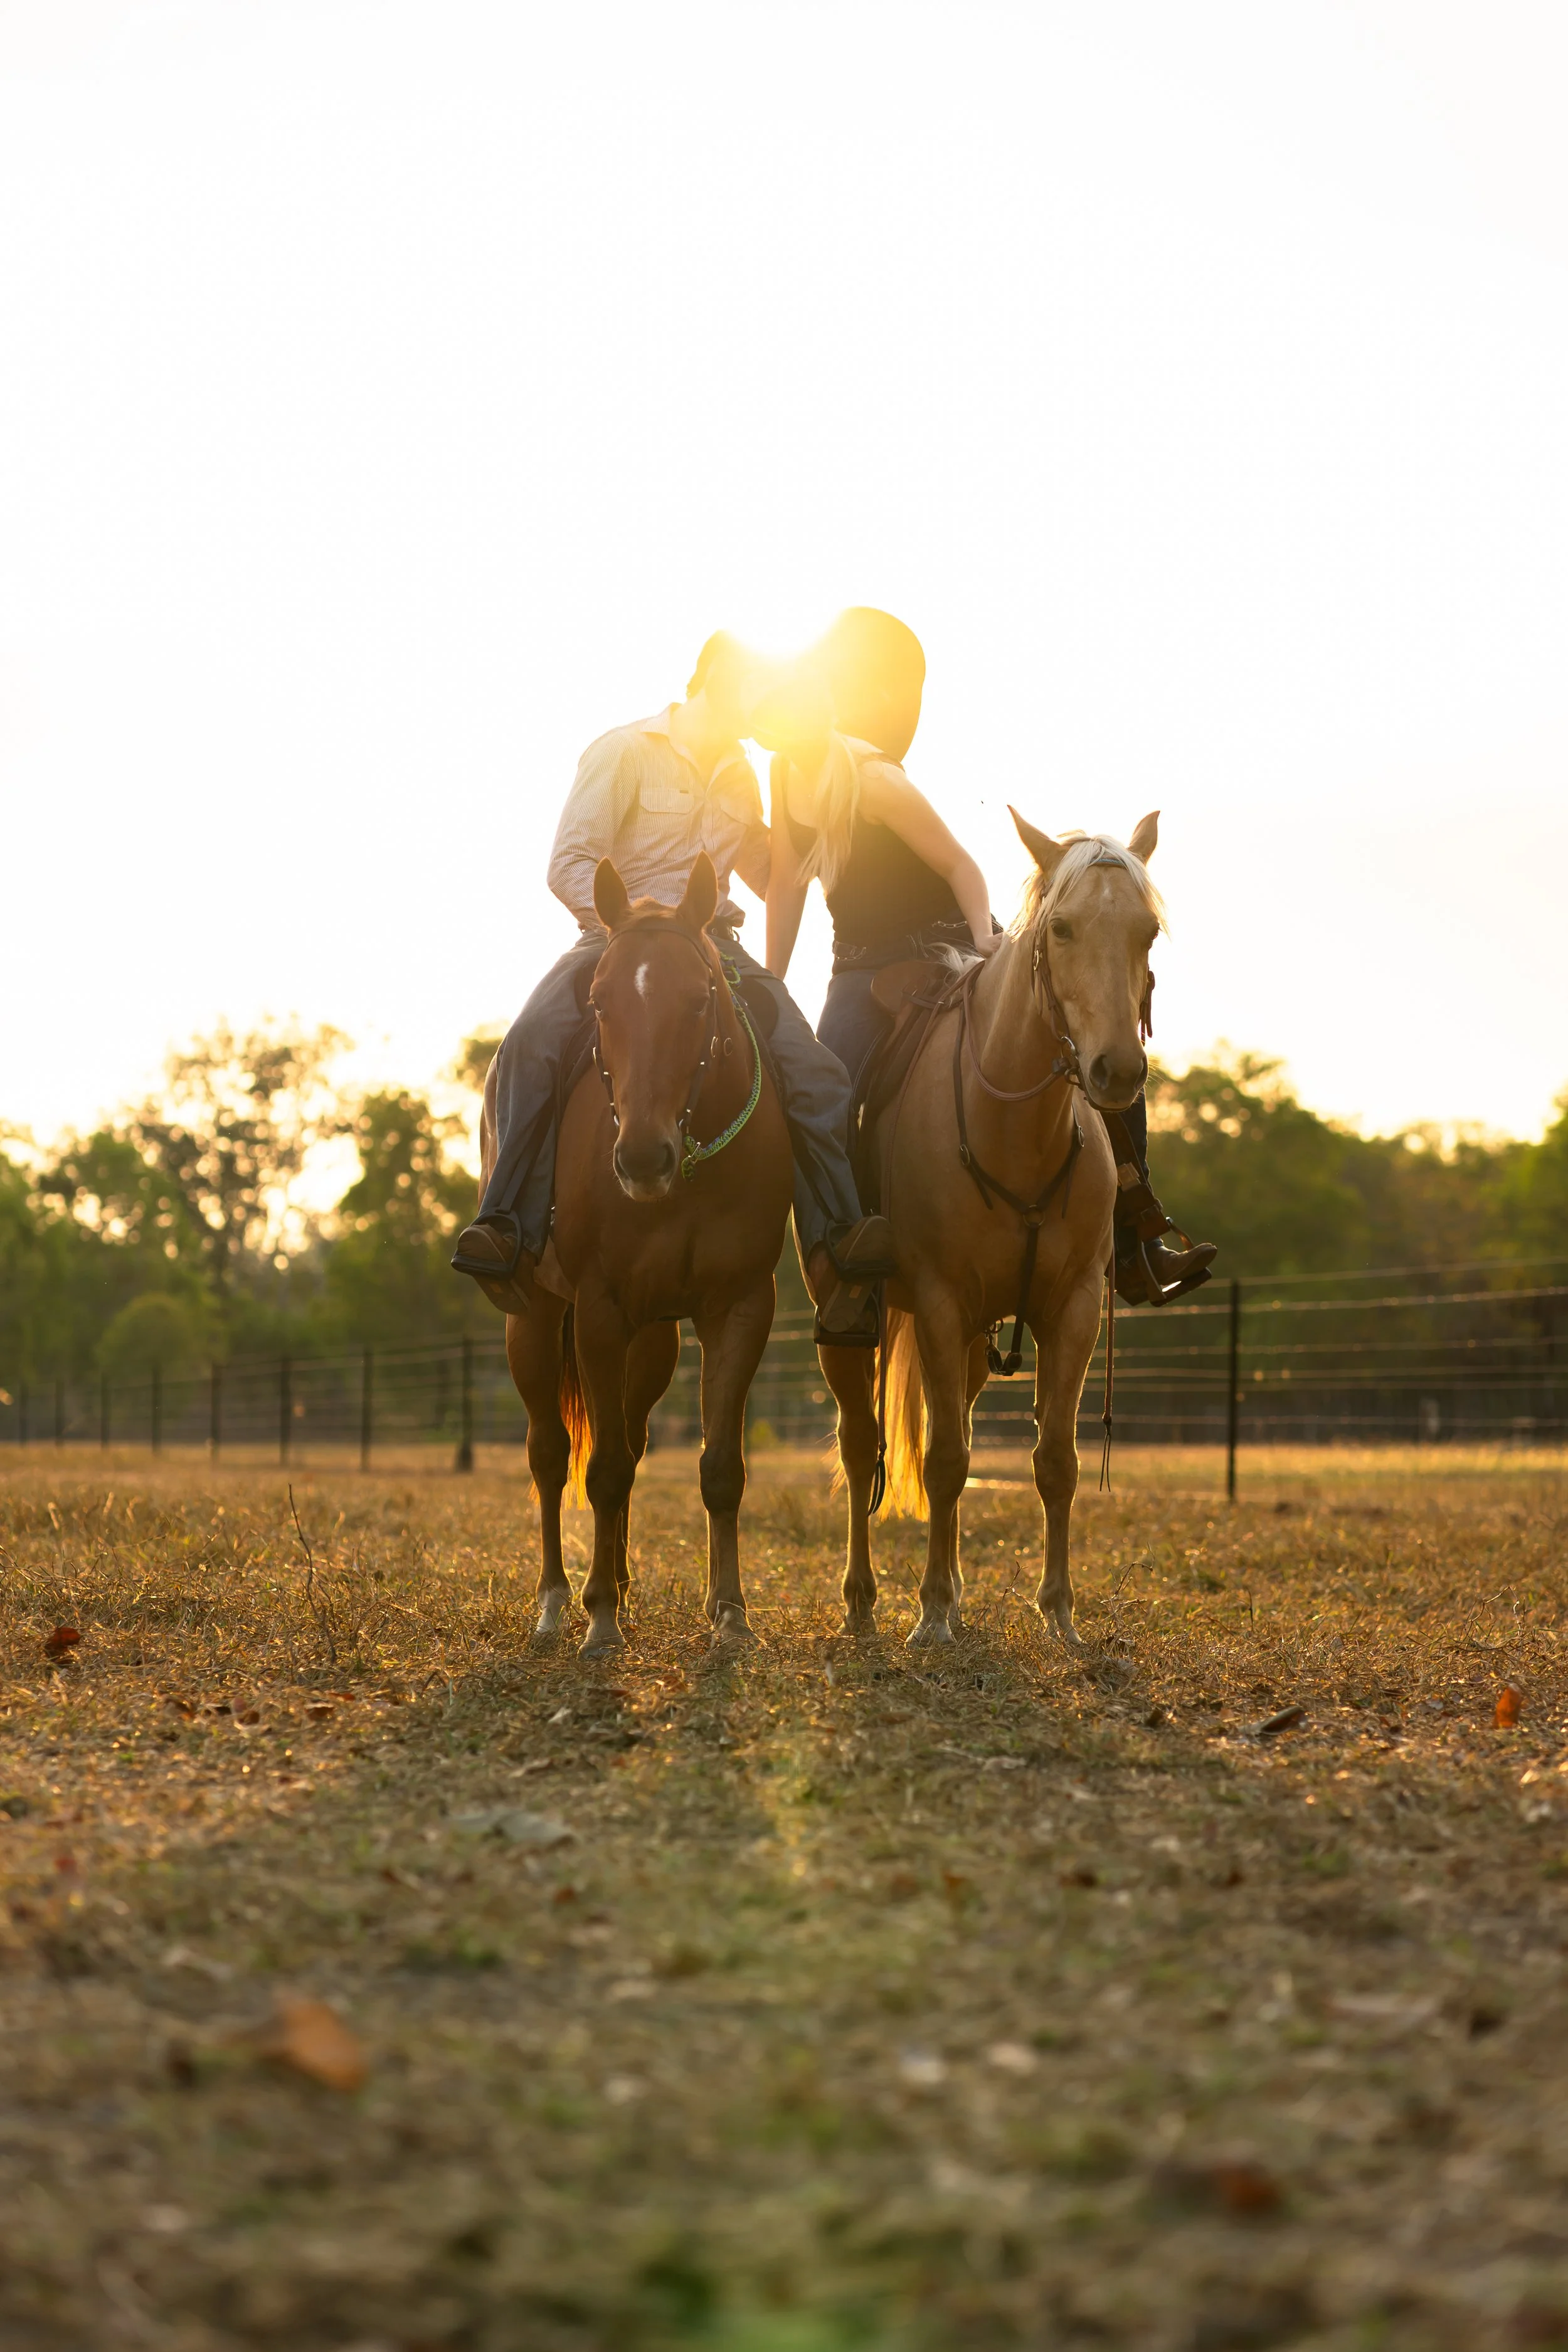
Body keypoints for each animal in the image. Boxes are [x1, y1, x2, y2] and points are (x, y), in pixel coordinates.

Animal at [490, 853, 794, 1655]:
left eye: (699, 998)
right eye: (599, 1002)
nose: (641, 1157)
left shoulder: (740, 1309)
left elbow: (719, 1467)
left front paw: (730, 1614)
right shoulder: (599, 1311)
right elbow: (601, 1471)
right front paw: (598, 1619)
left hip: (654, 1341)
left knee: (627, 1434)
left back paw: (620, 1584)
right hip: (534, 1320)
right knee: (550, 1454)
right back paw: (557, 1602)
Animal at [819, 809, 1165, 1649]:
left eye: (1146, 931)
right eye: (1062, 928)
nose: (1116, 1072)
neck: (1015, 1127)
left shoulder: (1071, 1309)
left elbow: (1055, 1459)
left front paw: (1059, 1613)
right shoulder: (941, 1305)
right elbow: (944, 1460)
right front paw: (930, 1614)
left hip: (977, 1341)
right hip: (852, 1323)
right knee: (860, 1445)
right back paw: (863, 1599)